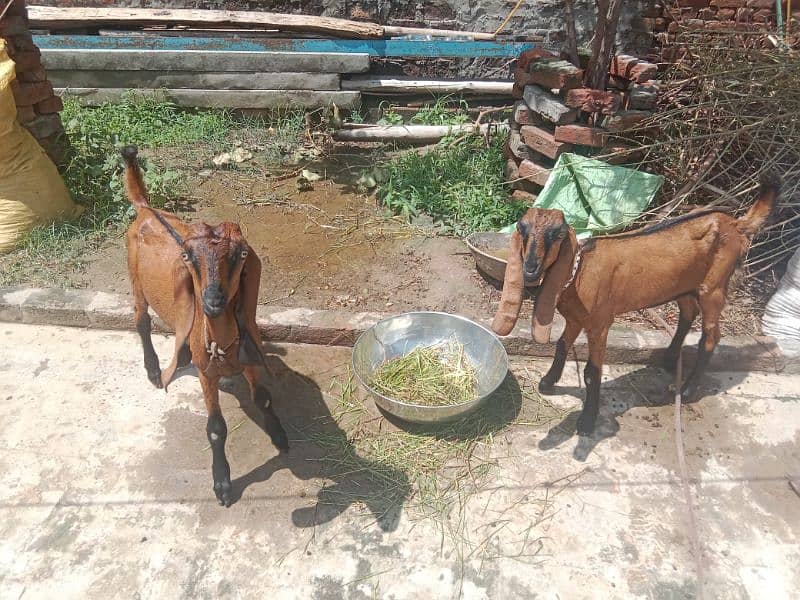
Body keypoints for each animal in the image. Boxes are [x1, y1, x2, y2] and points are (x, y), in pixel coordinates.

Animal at [122, 145, 288, 506]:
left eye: (242, 255)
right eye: (188, 257)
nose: (212, 301)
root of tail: (145, 209)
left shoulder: (248, 356)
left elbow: (264, 397)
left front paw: (280, 436)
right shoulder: (206, 375)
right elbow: (216, 428)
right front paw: (222, 484)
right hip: (135, 279)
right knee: (141, 320)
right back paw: (154, 369)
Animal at [494, 173, 780, 436]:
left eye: (557, 234)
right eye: (522, 228)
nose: (530, 270)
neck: (579, 271)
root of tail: (736, 223)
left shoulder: (600, 324)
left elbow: (591, 371)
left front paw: (586, 423)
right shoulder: (575, 318)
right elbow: (562, 345)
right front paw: (548, 383)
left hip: (714, 288)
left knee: (710, 336)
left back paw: (687, 389)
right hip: (683, 285)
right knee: (688, 313)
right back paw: (669, 359)